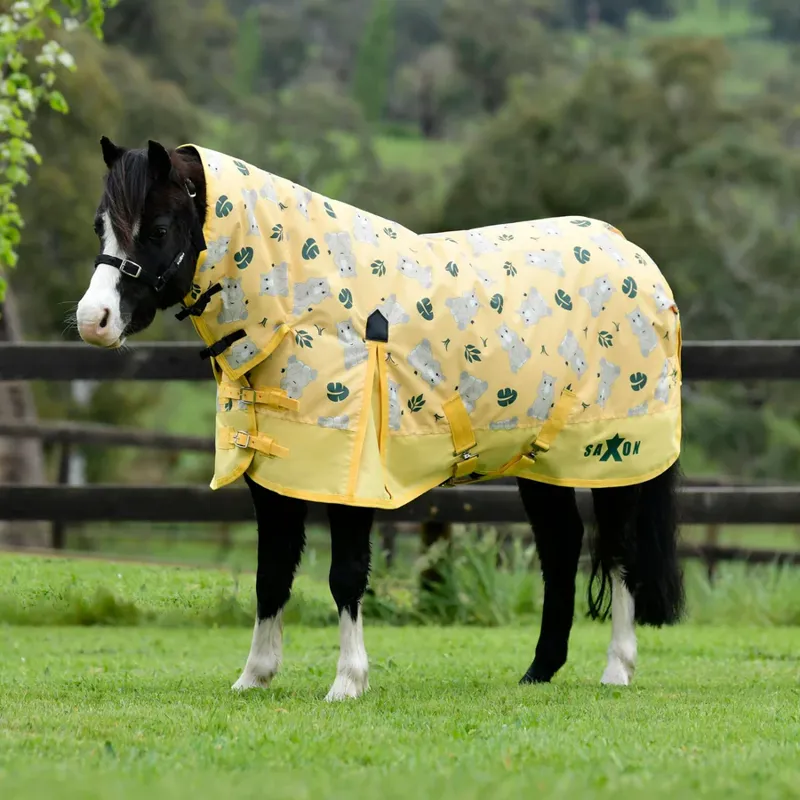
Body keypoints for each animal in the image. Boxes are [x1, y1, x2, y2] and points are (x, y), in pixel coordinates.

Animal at [75, 138, 684, 700]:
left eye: (157, 229)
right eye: (101, 226)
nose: (93, 320)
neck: (305, 306)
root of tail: (635, 258)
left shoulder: (353, 480)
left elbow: (345, 574)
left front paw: (348, 681)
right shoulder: (275, 477)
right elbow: (271, 573)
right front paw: (255, 676)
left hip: (614, 460)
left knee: (620, 551)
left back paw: (617, 669)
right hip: (539, 462)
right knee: (562, 548)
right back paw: (539, 671)